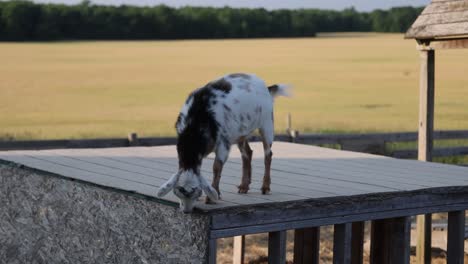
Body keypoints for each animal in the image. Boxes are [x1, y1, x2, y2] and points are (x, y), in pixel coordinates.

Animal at [157, 72, 288, 212]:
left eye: (196, 190)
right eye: (178, 190)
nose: (186, 211)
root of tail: (265, 86)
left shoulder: (223, 142)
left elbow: (217, 167)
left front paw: (212, 197)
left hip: (267, 123)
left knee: (268, 154)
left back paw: (265, 187)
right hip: (240, 133)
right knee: (247, 153)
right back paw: (244, 186)